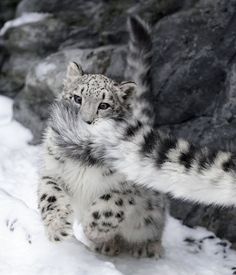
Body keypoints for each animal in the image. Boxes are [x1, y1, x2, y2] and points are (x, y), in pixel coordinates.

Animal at [38, 16, 168, 260]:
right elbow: (50, 196)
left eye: (104, 105)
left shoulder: (127, 187)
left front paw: (93, 228)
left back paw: (146, 247)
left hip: (151, 213)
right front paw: (58, 227)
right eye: (77, 98)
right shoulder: (52, 170)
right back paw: (107, 245)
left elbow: (110, 204)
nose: (86, 121)